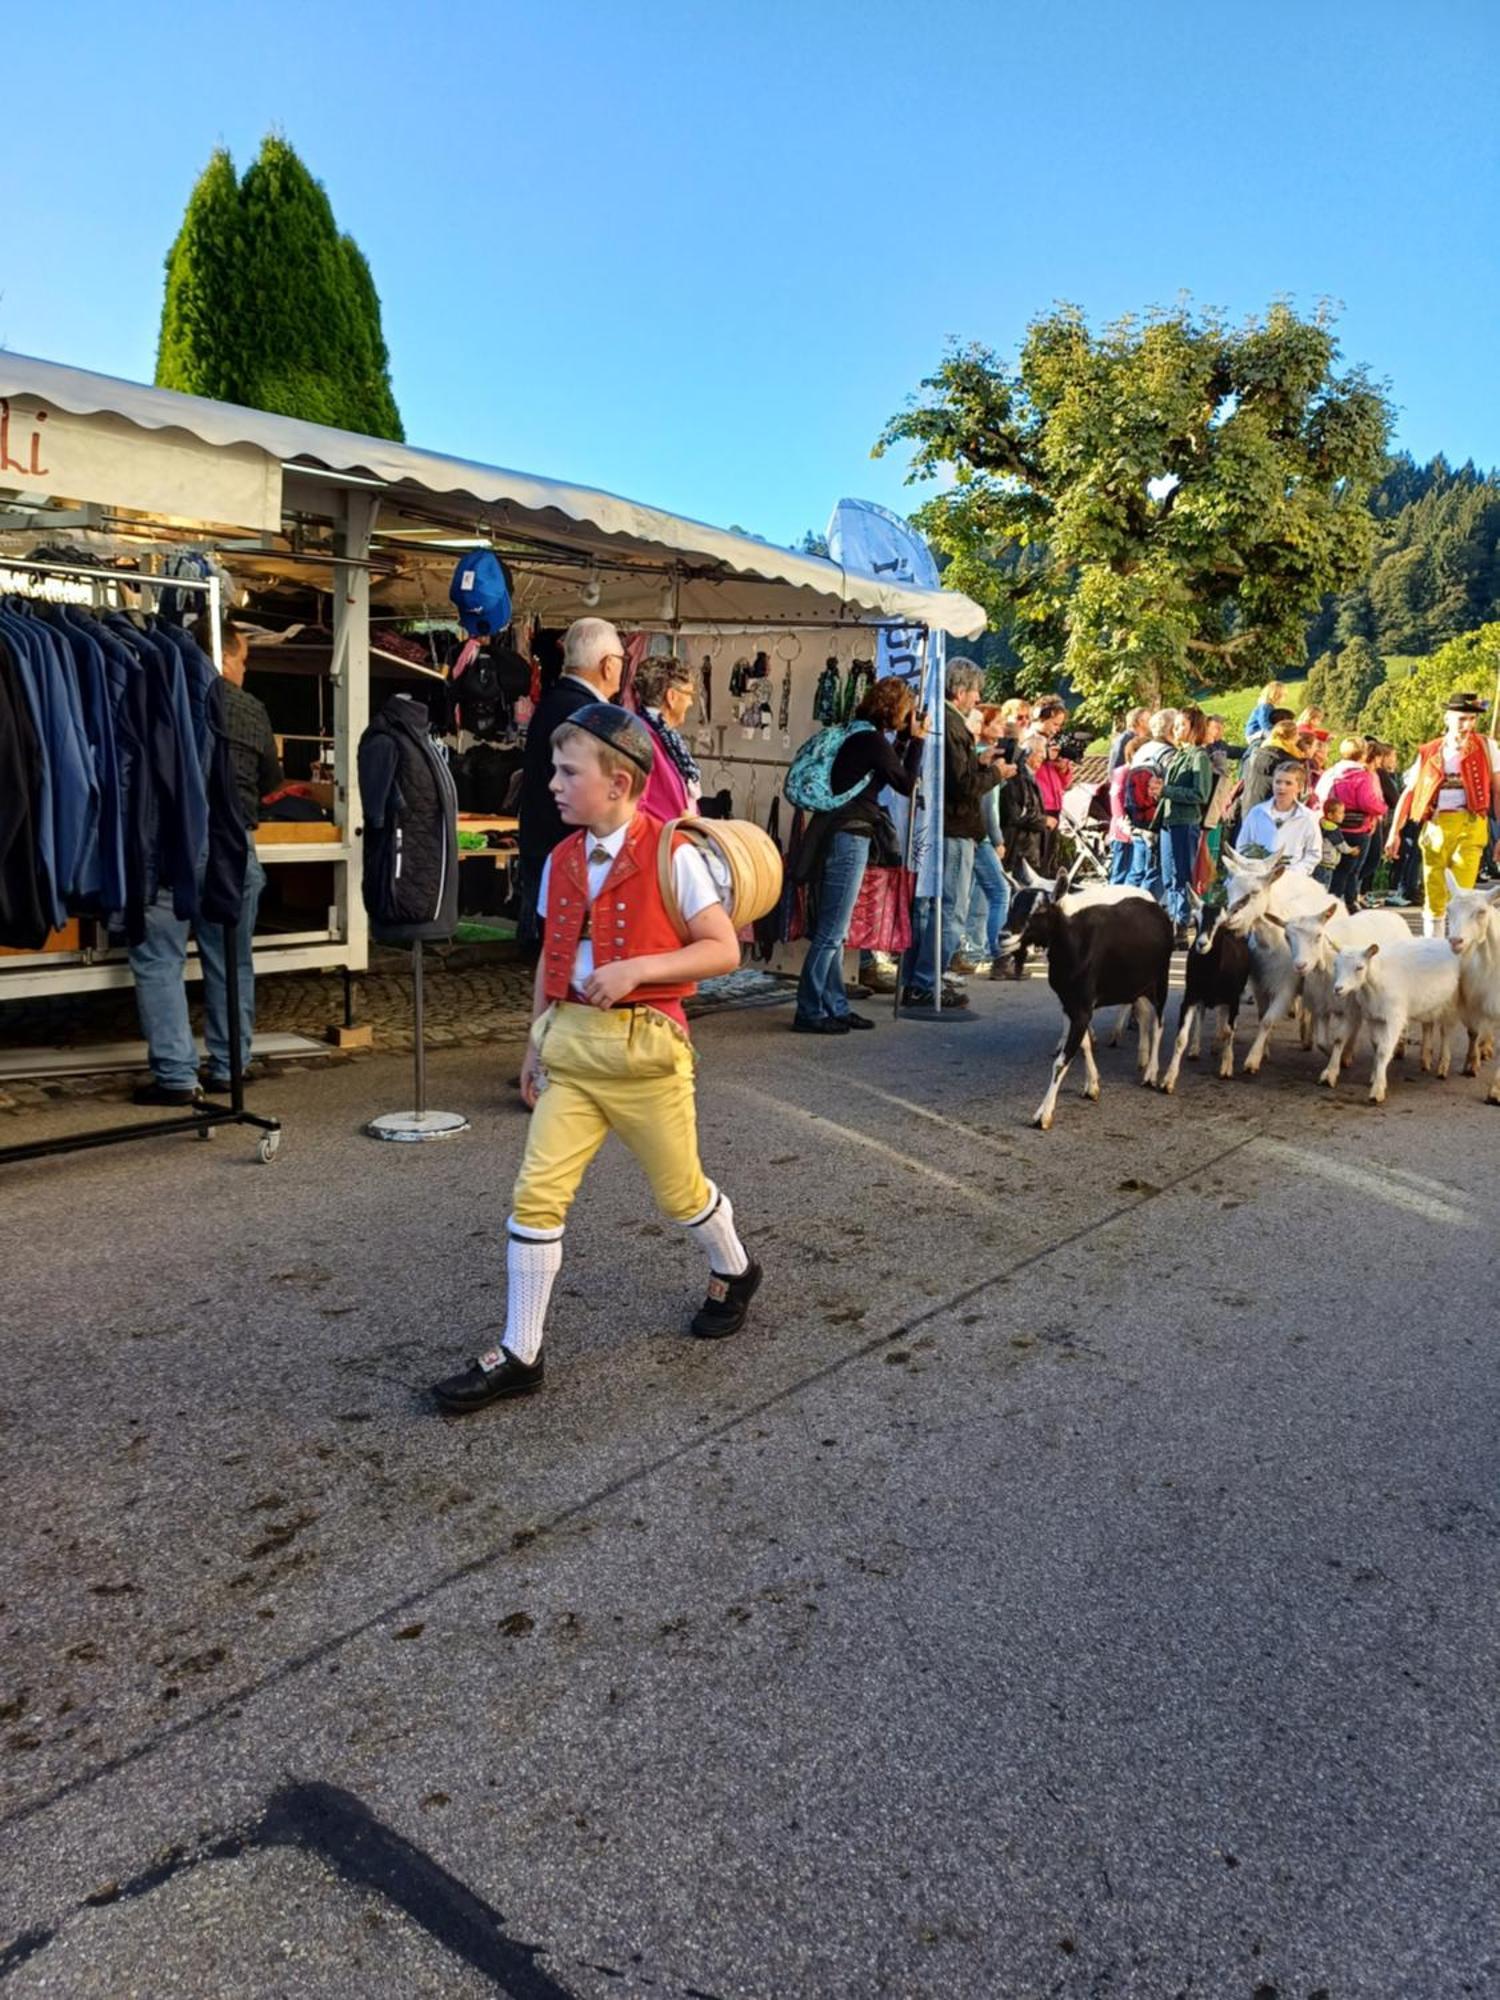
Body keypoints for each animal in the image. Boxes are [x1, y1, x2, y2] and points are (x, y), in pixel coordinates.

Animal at [1032, 872, 1184, 1128]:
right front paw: (1091, 1085)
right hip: (1138, 984)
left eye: (1040, 911)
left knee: (1159, 1023)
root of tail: (1157, 908)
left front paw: (1044, 1114)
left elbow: (1064, 1059)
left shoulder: (1081, 1005)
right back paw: (1139, 1055)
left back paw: (1152, 1073)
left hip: (1160, 980)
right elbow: (1082, 1043)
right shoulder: (1071, 1004)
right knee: (1144, 1014)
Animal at [1160, 908, 1256, 1096]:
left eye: (1221, 924)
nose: (1201, 944)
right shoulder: (1190, 997)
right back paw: (1196, 1049)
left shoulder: (1233, 999)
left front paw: (1226, 1067)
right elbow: (1181, 1038)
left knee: (1226, 1022)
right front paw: (1168, 1080)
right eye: (1196, 921)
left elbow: (1229, 1031)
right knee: (1203, 1014)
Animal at [1336, 940, 1464, 1104]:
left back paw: (1442, 1068)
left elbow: (1384, 1051)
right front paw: (1375, 1077)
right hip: (1428, 1005)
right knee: (1428, 1025)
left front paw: (1377, 1090)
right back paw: (1425, 1060)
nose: (1338, 988)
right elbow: (1377, 1046)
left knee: (1446, 1031)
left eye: (1360, 967)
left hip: (1450, 1002)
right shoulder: (1373, 1017)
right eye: (1336, 965)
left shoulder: (1394, 1018)